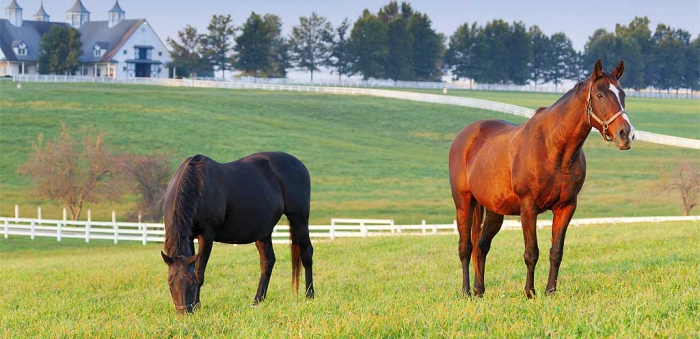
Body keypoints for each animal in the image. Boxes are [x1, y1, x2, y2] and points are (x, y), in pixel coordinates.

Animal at [161, 153, 314, 314]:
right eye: (170, 284)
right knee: (267, 261)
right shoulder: (189, 237)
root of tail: (299, 164)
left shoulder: (206, 235)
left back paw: (309, 295)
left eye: (191, 283)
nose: (184, 312)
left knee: (306, 254)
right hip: (263, 231)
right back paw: (257, 301)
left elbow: (199, 271)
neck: (199, 184)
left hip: (299, 219)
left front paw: (197, 304)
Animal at [448, 59, 636, 298]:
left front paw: (550, 292)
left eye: (622, 94)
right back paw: (466, 292)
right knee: (465, 247)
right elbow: (531, 252)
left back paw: (479, 291)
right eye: (600, 95)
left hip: (493, 210)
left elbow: (556, 252)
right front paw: (530, 293)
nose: (626, 134)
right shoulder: (529, 207)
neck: (554, 149)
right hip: (463, 202)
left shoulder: (566, 207)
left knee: (481, 246)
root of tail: (465, 136)